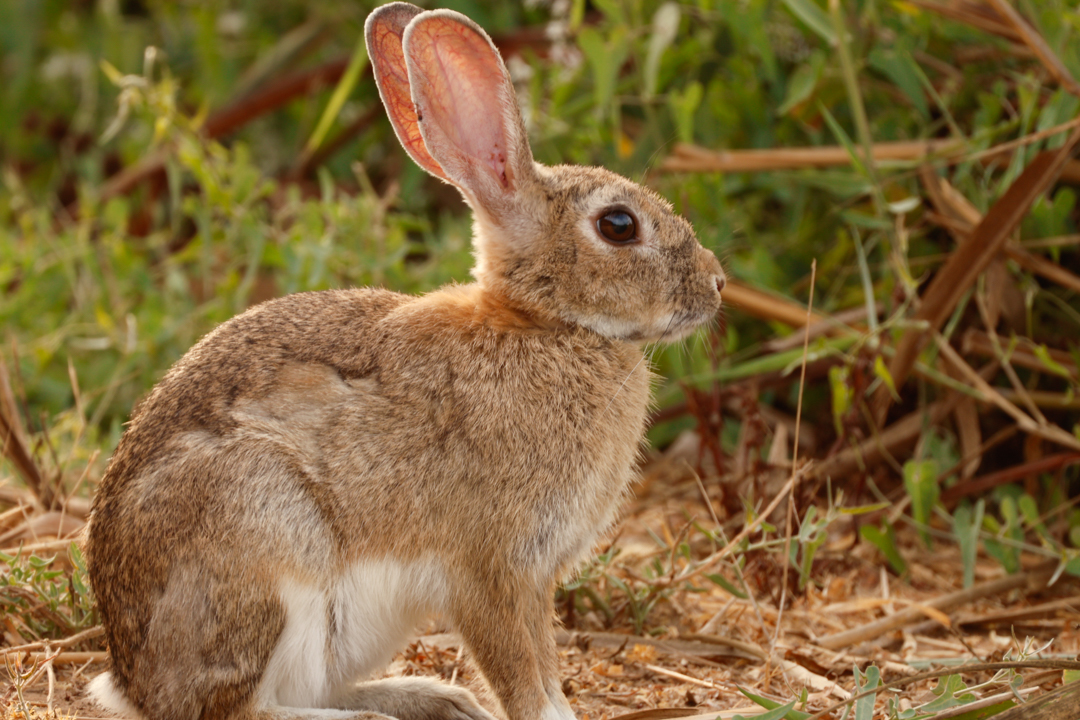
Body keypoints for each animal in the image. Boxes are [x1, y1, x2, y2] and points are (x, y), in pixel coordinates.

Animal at [85, 3, 726, 720]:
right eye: (619, 226)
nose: (716, 284)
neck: (544, 325)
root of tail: (130, 681)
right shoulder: (490, 571)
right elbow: (522, 676)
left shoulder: (533, 580)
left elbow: (543, 667)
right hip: (265, 542)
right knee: (243, 707)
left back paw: (433, 697)